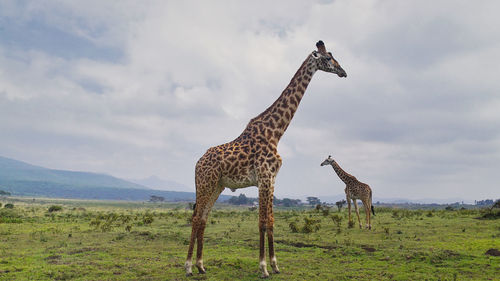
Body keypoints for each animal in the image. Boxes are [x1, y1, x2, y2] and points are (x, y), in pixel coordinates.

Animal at [186, 40, 346, 276]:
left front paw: (275, 265)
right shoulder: (263, 178)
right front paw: (263, 267)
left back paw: (201, 265)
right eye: (328, 58)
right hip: (206, 183)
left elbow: (270, 221)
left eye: (334, 57)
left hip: (217, 186)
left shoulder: (272, 179)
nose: (343, 72)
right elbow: (262, 221)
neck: (276, 132)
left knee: (204, 218)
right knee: (196, 217)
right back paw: (188, 266)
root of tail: (197, 163)